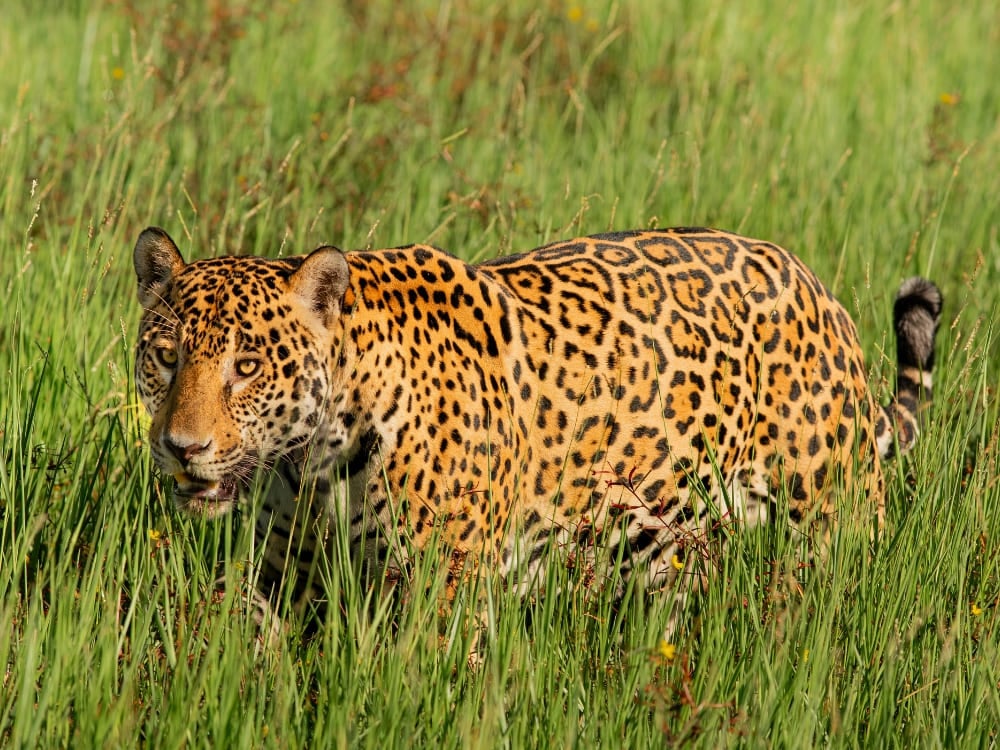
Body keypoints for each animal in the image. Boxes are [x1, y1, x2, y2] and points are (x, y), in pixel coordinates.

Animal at [133, 226, 941, 632]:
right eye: (167, 357)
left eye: (245, 367)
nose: (182, 449)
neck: (316, 457)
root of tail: (815, 284)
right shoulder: (285, 569)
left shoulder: (444, 586)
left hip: (829, 519)